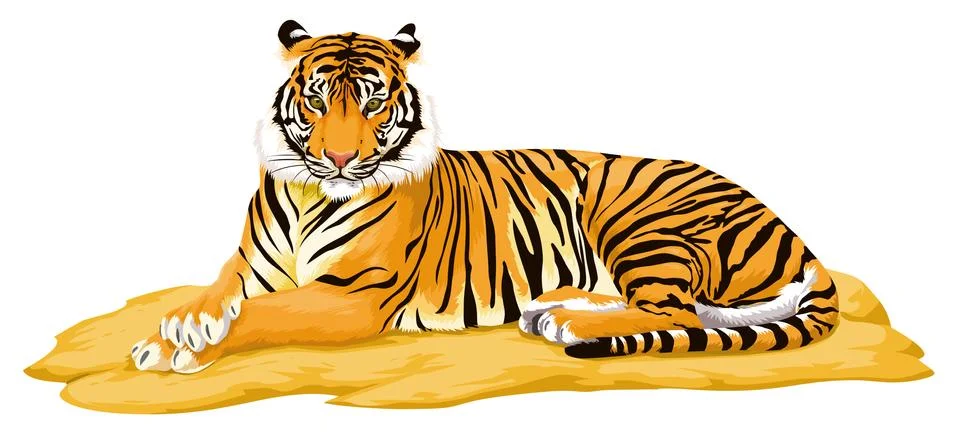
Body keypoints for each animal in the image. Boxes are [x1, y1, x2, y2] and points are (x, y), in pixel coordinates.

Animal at [129, 20, 840, 373]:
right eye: (317, 98)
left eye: (373, 101)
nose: (339, 159)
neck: (310, 193)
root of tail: (797, 237)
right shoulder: (251, 264)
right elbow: (223, 290)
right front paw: (178, 327)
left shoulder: (355, 294)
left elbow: (264, 314)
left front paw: (184, 345)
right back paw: (554, 306)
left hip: (636, 216)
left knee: (680, 313)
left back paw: (569, 322)